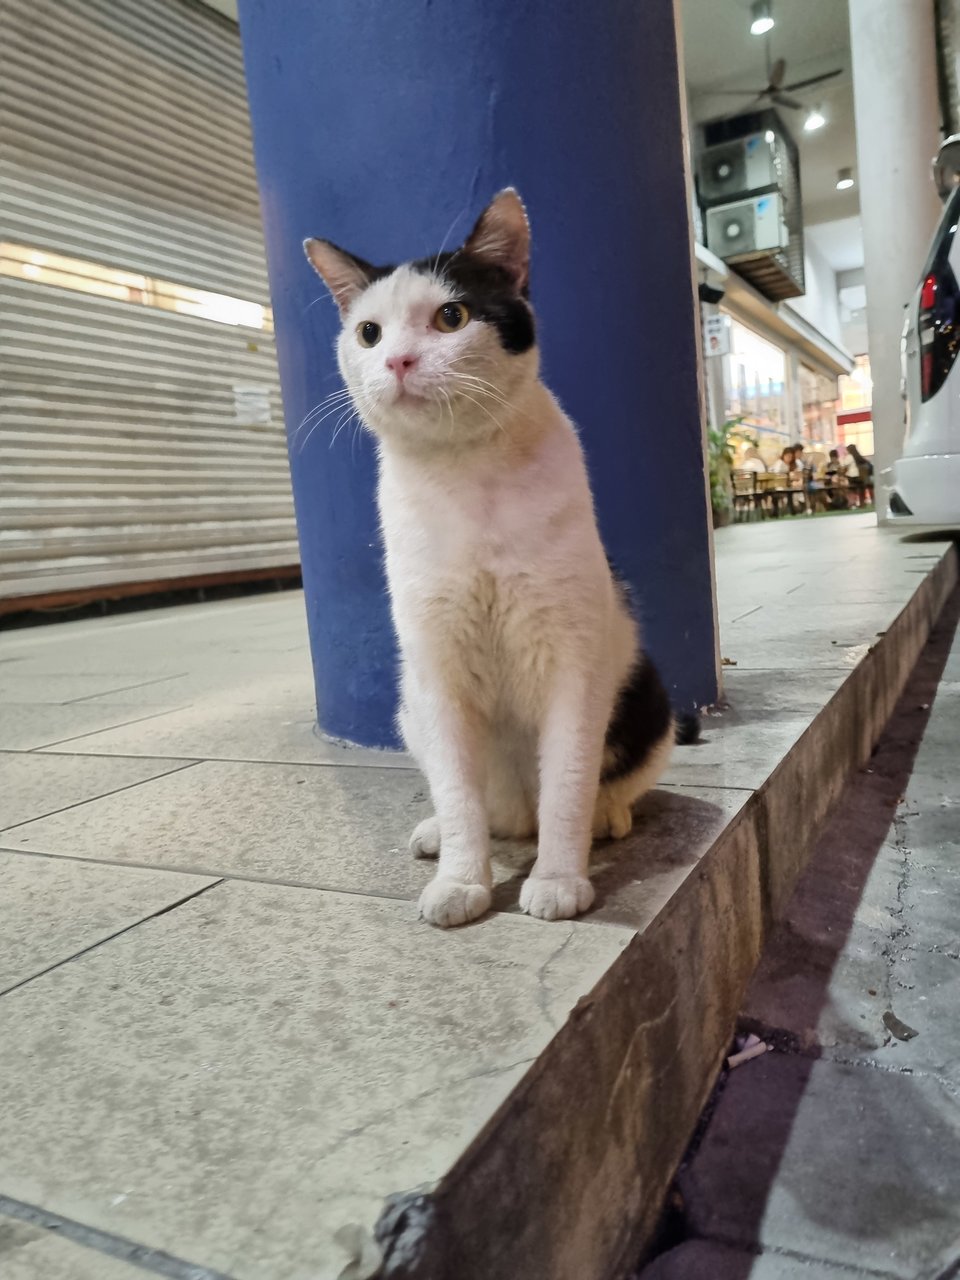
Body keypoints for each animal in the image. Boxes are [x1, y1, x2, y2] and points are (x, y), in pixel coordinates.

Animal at [305, 186, 691, 931]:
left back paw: (605, 818)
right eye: (368, 333)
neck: (467, 475)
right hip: (411, 704)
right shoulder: (437, 664)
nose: (397, 362)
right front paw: (462, 881)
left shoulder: (572, 659)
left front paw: (560, 880)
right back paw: (442, 834)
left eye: (451, 317)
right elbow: (460, 796)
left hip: (646, 693)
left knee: (605, 787)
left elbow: (567, 782)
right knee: (474, 804)